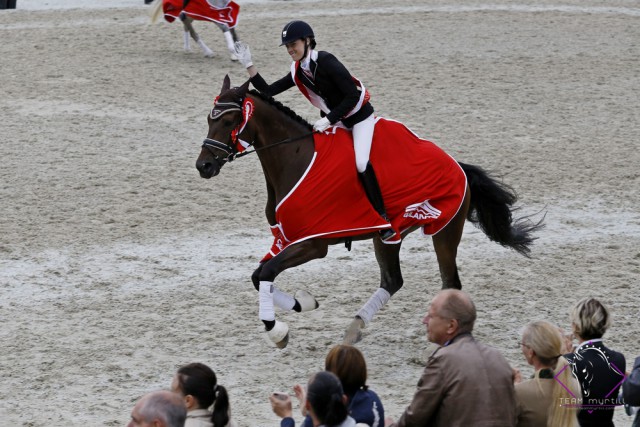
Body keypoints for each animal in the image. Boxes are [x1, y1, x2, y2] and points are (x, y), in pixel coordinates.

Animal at [196, 75, 544, 350]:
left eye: (228, 121)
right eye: (209, 120)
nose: (204, 166)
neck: (294, 159)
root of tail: (457, 164)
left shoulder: (313, 243)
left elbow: (266, 274)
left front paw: (277, 331)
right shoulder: (283, 239)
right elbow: (258, 276)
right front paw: (304, 303)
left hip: (443, 231)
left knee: (450, 282)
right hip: (387, 238)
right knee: (393, 280)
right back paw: (354, 328)